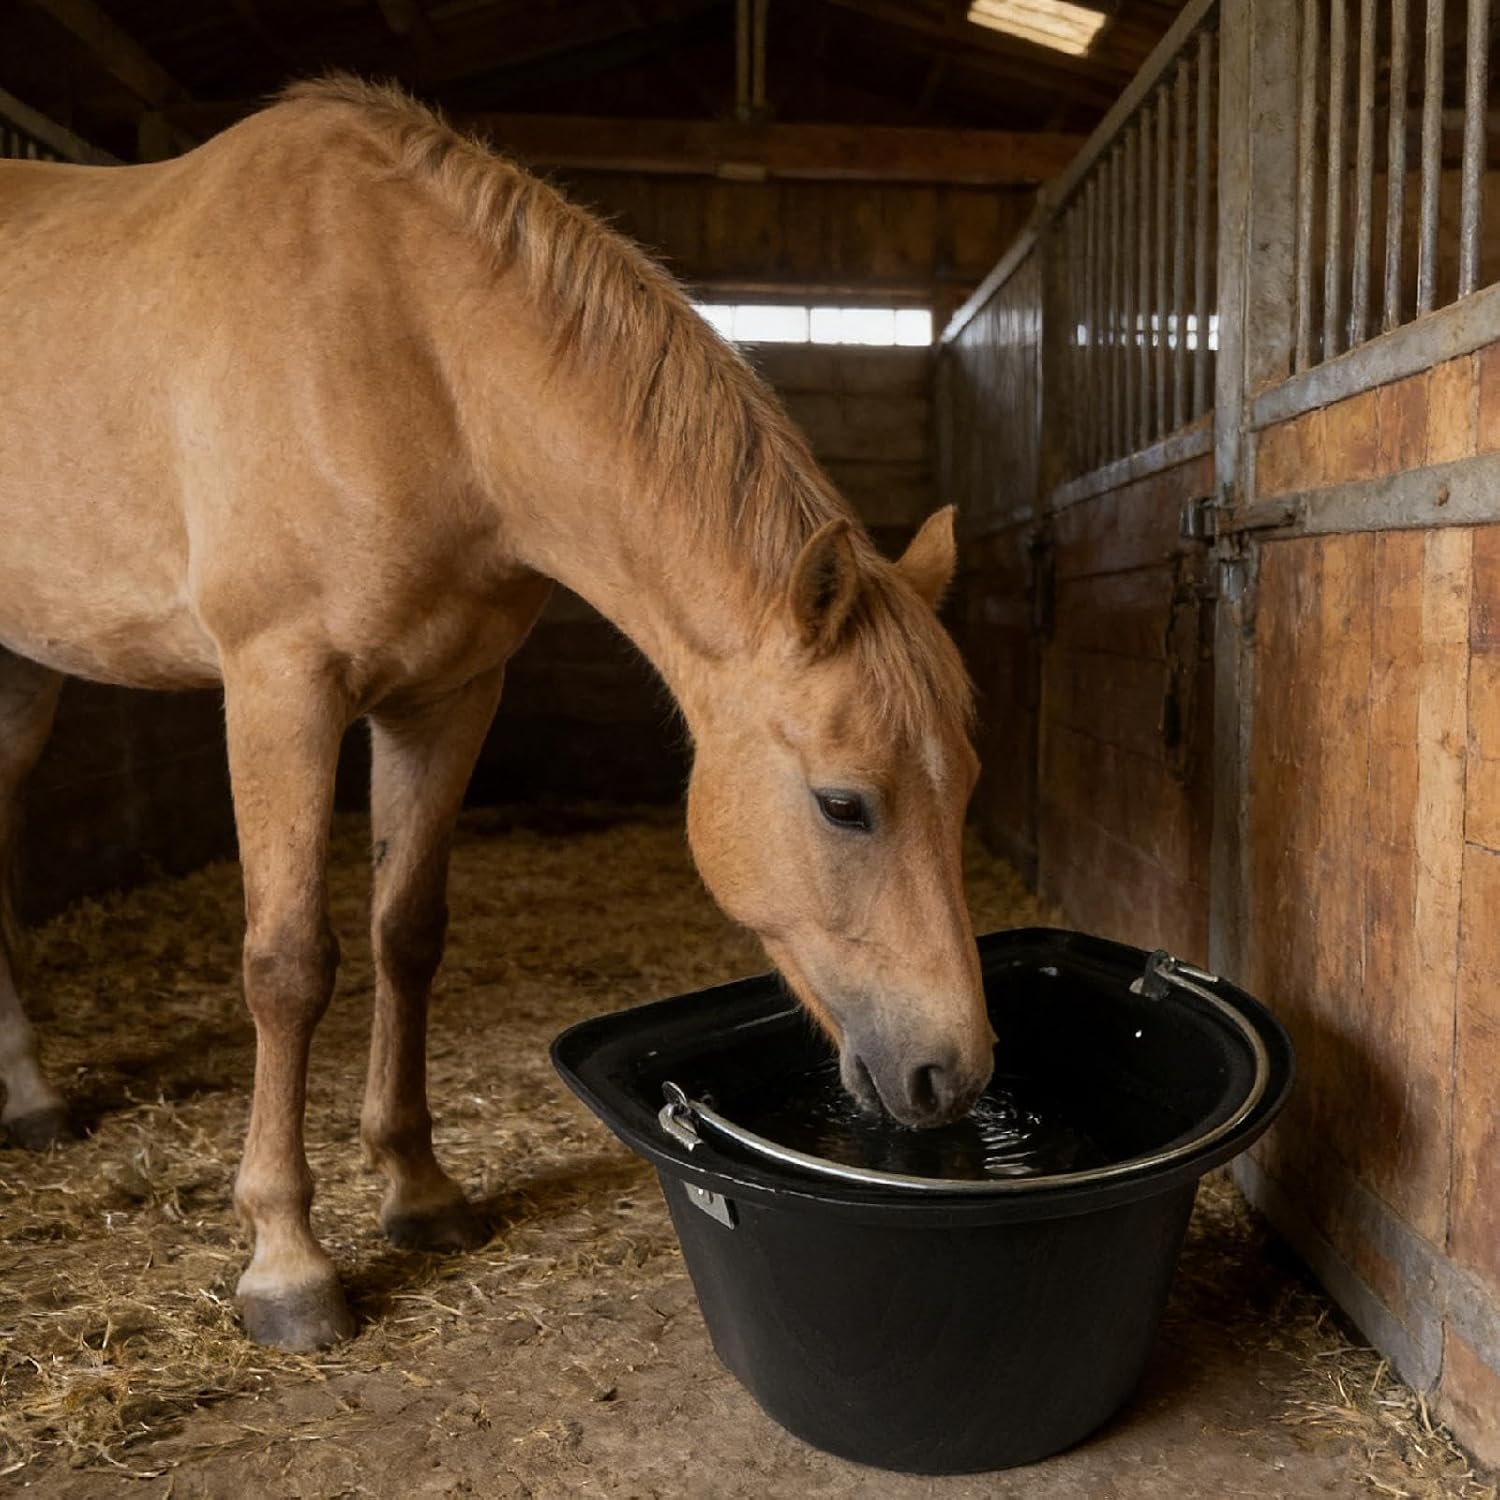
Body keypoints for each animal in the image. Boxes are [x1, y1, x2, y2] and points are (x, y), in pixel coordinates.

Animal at [0, 78, 989, 1351]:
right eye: (844, 805)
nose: (954, 1075)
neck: (410, 355)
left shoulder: (447, 697)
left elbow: (406, 935)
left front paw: (419, 1191)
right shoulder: (280, 686)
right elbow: (288, 964)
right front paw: (287, 1261)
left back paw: (30, 1094)